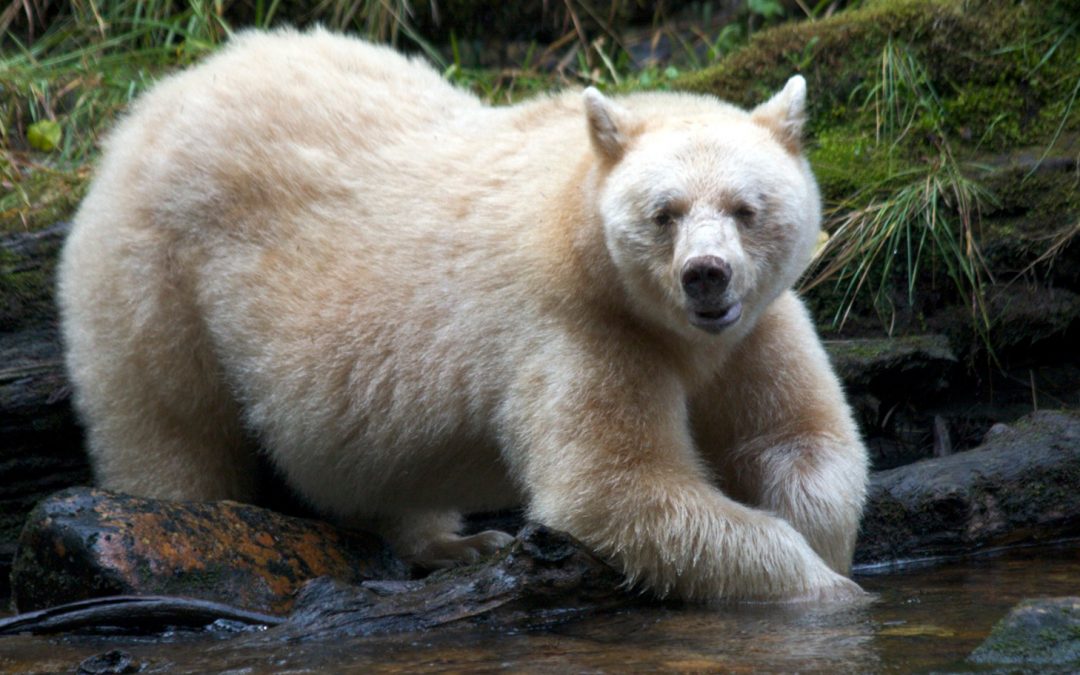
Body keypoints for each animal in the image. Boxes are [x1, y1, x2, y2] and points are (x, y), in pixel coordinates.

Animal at [58, 28, 869, 603]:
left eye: (746, 207)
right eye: (663, 212)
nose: (706, 275)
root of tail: (153, 101)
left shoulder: (753, 328)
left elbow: (802, 439)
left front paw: (824, 544)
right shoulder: (578, 329)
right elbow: (618, 487)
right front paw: (827, 588)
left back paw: (455, 544)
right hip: (156, 274)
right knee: (166, 427)